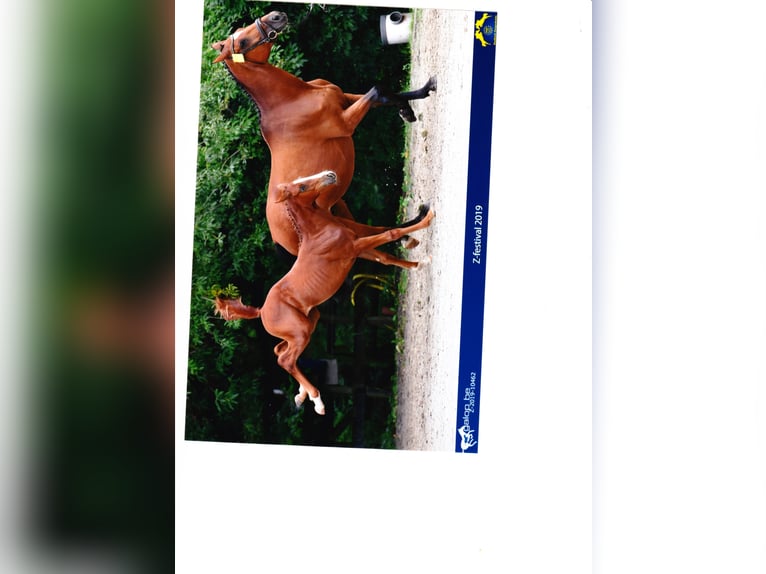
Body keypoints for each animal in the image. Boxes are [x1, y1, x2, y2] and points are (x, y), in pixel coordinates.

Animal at [211, 11, 437, 269]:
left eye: (241, 32)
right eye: (242, 42)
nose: (276, 16)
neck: (292, 101)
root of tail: (279, 242)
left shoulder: (346, 99)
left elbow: (387, 94)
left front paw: (417, 98)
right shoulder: (346, 123)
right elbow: (378, 91)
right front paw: (407, 109)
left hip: (340, 208)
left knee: (375, 236)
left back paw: (413, 230)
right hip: (342, 231)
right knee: (377, 247)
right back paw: (416, 229)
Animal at [214, 170, 435, 415]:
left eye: (302, 179)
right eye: (301, 187)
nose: (330, 174)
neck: (320, 231)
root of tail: (261, 312)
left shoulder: (358, 247)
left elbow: (384, 253)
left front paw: (421, 262)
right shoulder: (355, 247)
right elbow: (390, 233)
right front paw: (428, 216)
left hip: (310, 322)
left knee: (279, 350)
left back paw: (302, 395)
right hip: (301, 331)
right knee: (286, 360)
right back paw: (317, 400)